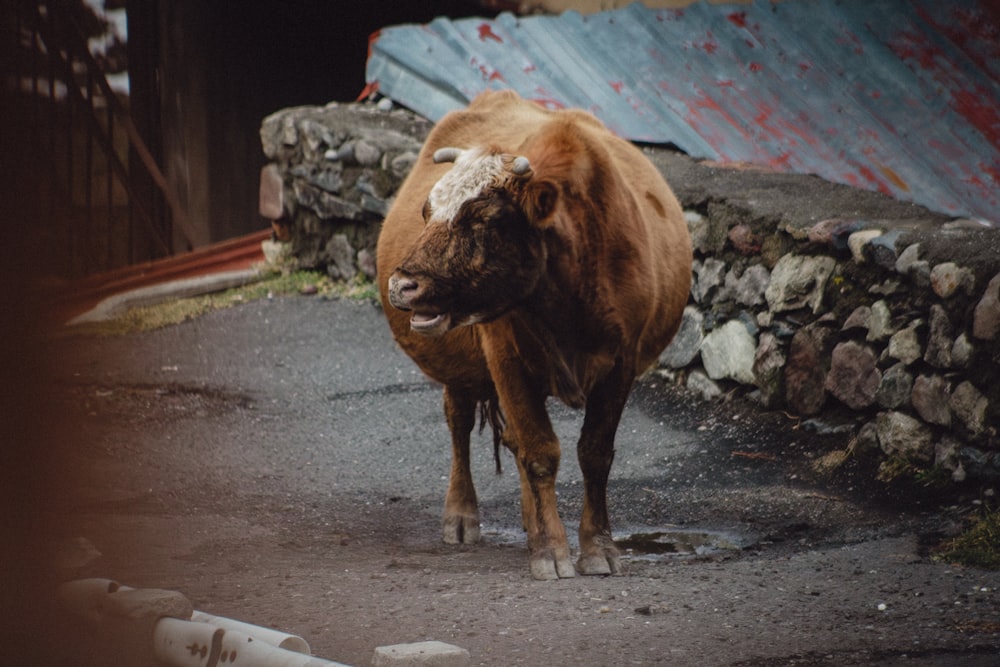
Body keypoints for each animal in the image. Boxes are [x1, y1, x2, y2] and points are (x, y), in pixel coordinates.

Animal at [376, 90, 688, 580]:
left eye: (483, 219)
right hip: (461, 368)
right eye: (426, 212)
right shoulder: (506, 360)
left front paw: (598, 547)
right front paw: (551, 551)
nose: (402, 285)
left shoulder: (623, 364)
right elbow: (540, 452)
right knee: (460, 423)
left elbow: (594, 453)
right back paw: (462, 515)